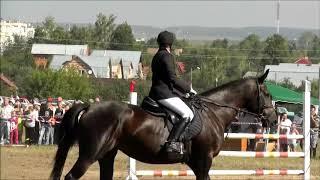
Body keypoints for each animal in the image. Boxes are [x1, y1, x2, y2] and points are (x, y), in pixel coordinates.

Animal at [50, 69, 278, 180]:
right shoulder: (204, 160)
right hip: (90, 154)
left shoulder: (197, 163)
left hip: (107, 154)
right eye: (267, 93)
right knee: (71, 176)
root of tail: (89, 106)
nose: (274, 119)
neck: (214, 112)